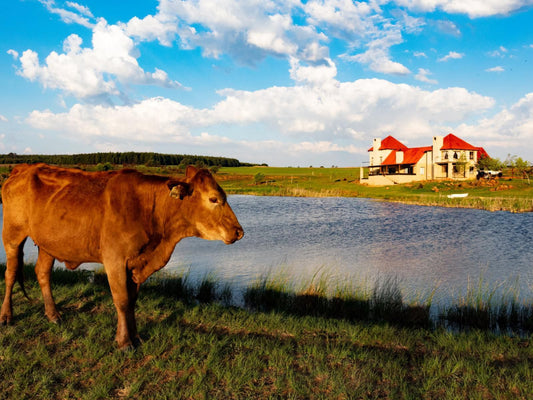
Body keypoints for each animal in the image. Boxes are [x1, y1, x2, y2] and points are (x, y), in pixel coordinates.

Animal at [0, 164, 243, 348]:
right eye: (213, 199)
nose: (239, 231)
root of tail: (23, 168)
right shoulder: (114, 261)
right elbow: (122, 300)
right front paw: (124, 342)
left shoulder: (135, 263)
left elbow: (132, 300)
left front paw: (135, 336)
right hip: (12, 235)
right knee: (11, 274)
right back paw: (6, 316)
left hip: (48, 244)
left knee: (42, 274)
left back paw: (53, 315)